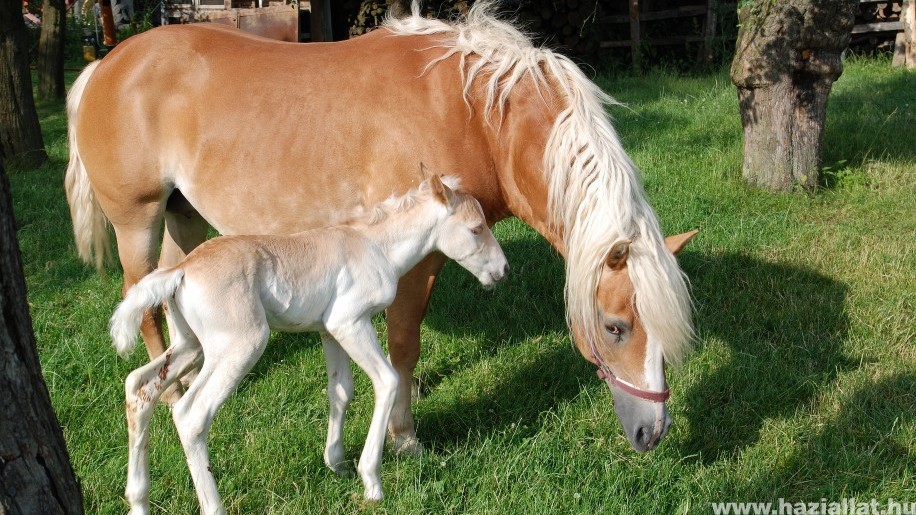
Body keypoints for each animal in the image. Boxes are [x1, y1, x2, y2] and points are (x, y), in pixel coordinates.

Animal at [66, 4, 696, 456]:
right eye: (615, 328)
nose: (653, 433)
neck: (476, 112)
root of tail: (107, 64)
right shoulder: (417, 261)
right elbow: (403, 345)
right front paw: (404, 434)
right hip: (138, 222)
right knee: (142, 303)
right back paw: (172, 394)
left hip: (185, 219)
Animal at [111, 177, 512, 512]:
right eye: (476, 229)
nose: (503, 270)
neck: (375, 246)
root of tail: (182, 270)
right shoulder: (350, 322)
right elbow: (387, 381)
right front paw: (371, 481)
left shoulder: (328, 331)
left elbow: (341, 390)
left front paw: (337, 463)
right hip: (240, 346)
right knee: (190, 414)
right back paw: (213, 506)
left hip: (190, 346)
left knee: (139, 387)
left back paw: (138, 500)